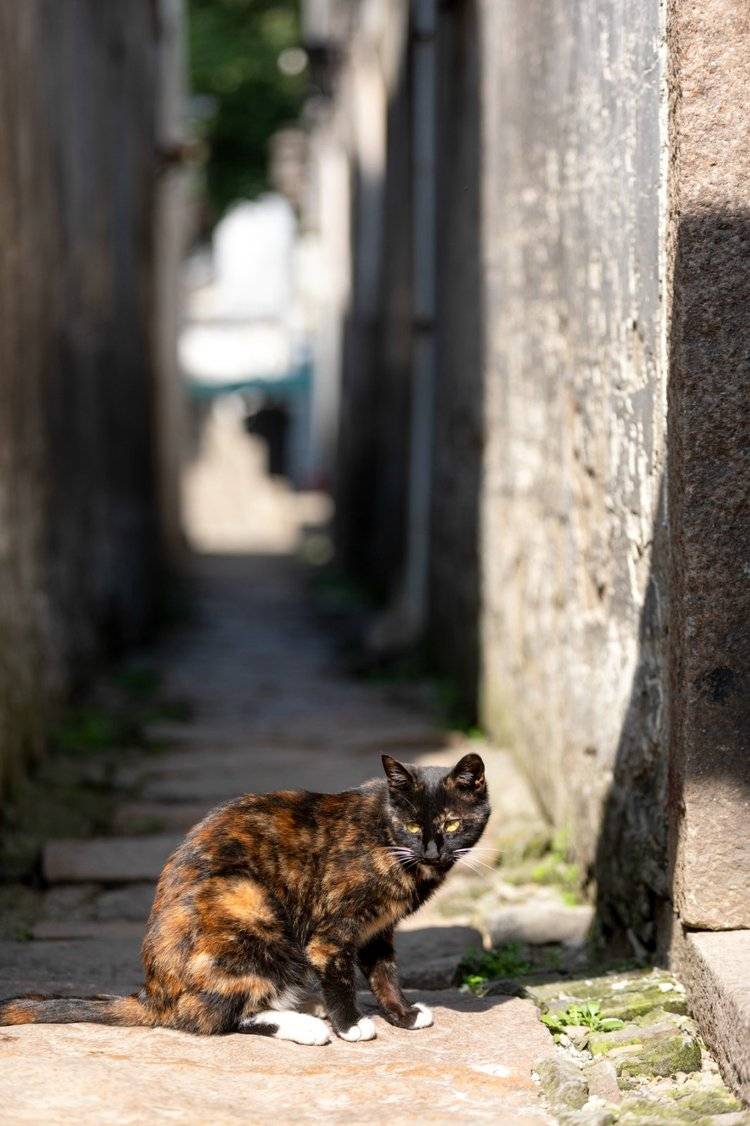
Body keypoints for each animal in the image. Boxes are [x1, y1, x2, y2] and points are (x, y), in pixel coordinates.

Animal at [0, 752, 488, 1040]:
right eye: (410, 825)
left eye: (450, 824)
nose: (431, 849)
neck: (386, 837)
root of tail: (152, 994)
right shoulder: (332, 934)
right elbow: (341, 976)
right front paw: (351, 1025)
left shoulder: (377, 930)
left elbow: (385, 975)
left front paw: (403, 1015)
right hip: (248, 903)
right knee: (215, 1017)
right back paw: (309, 1025)